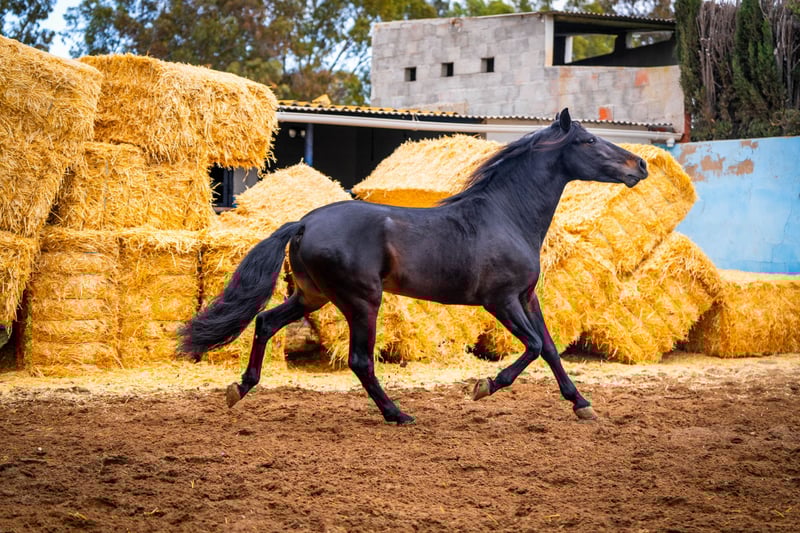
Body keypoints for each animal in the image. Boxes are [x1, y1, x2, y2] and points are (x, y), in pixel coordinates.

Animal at [179, 108, 648, 424]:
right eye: (588, 142)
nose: (640, 165)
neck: (506, 215)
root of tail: (305, 222)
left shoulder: (527, 297)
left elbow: (549, 348)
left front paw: (582, 404)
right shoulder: (500, 301)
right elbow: (532, 346)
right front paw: (483, 387)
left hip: (312, 297)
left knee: (265, 322)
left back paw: (240, 388)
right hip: (361, 301)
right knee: (360, 360)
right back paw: (398, 414)